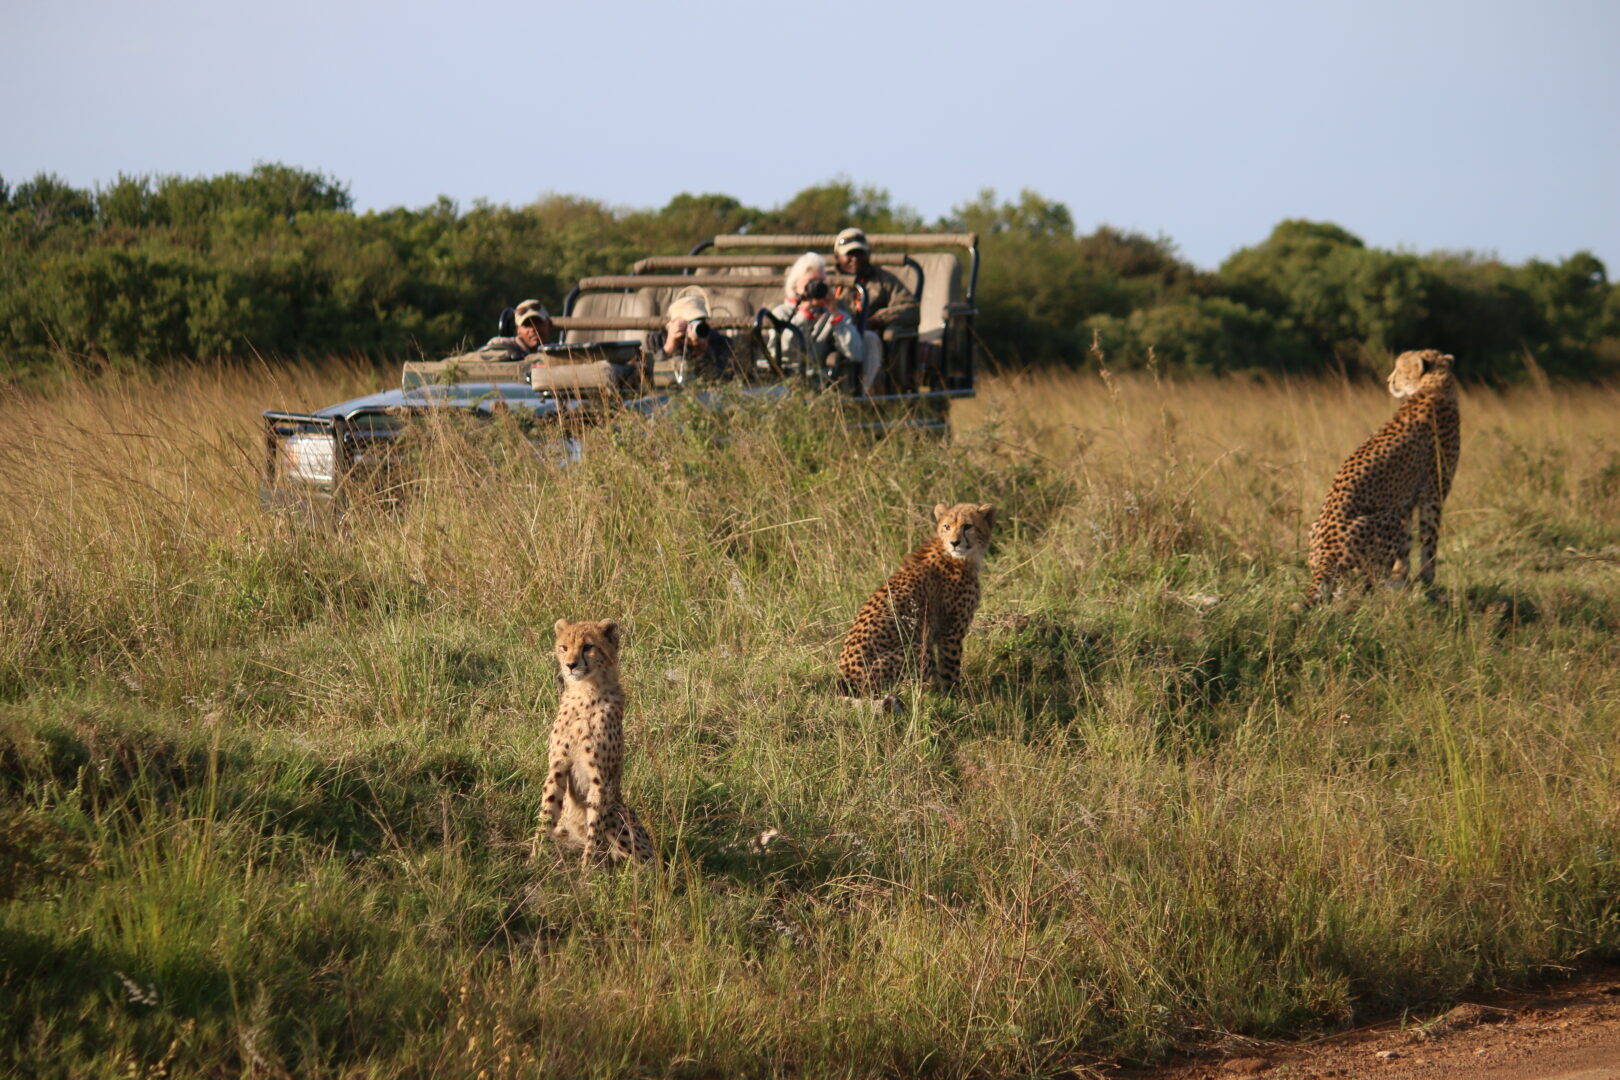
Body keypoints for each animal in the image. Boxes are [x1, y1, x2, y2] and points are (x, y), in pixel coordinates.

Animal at [534, 618, 654, 865]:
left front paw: (587, 870)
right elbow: (546, 814)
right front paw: (533, 860)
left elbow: (594, 830)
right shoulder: (557, 768)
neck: (585, 692)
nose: (571, 665)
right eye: (564, 647)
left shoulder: (601, 780)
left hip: (619, 813)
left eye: (588, 647)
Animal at [837, 502, 995, 697]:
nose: (954, 542)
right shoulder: (951, 630)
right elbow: (950, 669)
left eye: (967, 526)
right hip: (916, 647)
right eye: (947, 526)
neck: (960, 557)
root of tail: (846, 679)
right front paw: (955, 697)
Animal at [1304, 349, 1461, 607]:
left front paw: (1404, 581)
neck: (1433, 385)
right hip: (1388, 520)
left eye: (1399, 368)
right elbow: (1428, 542)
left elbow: (1406, 549)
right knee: (1366, 582)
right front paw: (1427, 584)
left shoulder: (1407, 500)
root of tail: (1327, 551)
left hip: (1319, 529)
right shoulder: (1433, 495)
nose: (1389, 380)